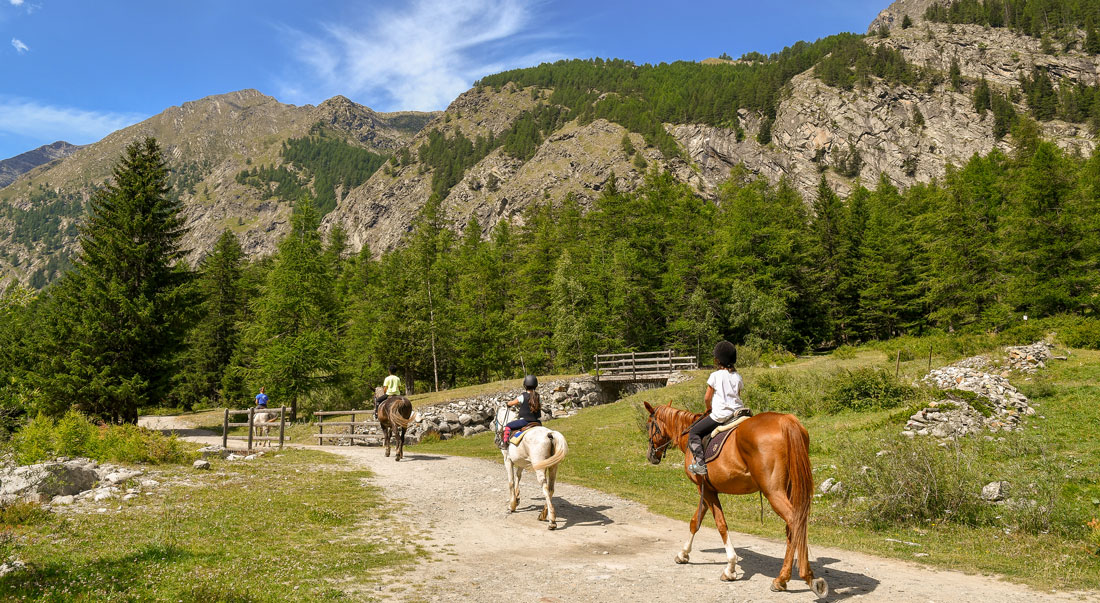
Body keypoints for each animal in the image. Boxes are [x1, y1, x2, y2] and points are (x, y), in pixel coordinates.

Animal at [642, 400, 827, 598]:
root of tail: (786, 421)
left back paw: (796, 577)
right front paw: (683, 554)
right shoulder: (707, 490)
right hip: (791, 488)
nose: (651, 455)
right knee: (795, 525)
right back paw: (791, 578)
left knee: (794, 521)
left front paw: (730, 567)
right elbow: (695, 522)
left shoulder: (706, 490)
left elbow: (720, 524)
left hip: (774, 491)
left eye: (649, 425)